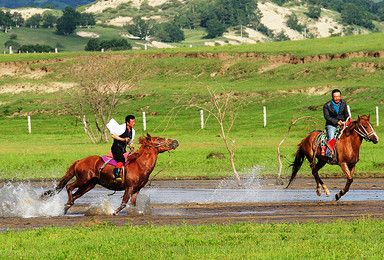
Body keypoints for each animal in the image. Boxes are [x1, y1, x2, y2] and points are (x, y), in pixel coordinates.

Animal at [41, 133, 179, 214]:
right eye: (159, 139)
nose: (175, 141)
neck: (139, 164)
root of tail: (80, 161)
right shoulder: (129, 187)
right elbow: (123, 203)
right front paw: (113, 212)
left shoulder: (136, 190)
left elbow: (133, 204)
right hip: (82, 179)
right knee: (69, 187)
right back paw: (68, 204)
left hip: (89, 185)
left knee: (75, 195)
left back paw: (65, 207)